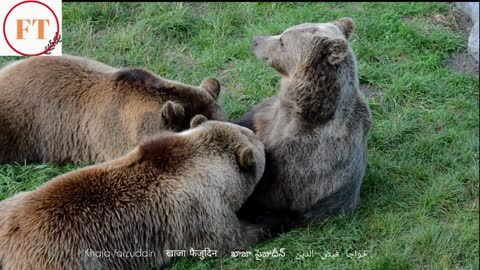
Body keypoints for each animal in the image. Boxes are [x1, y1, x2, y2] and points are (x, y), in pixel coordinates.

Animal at [0, 116, 264, 270]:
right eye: (258, 142)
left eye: (251, 133)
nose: (260, 138)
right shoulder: (200, 211)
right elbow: (231, 239)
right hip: (66, 259)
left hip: (10, 204)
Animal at [234, 17, 374, 232]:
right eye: (282, 33)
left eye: (282, 41)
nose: (256, 40)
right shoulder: (269, 113)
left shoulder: (307, 153)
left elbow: (270, 186)